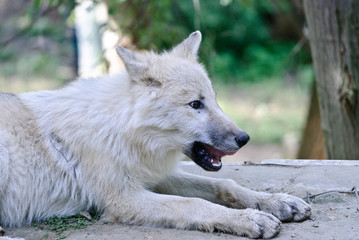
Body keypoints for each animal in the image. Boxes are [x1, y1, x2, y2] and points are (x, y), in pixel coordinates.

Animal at [0, 31, 310, 238]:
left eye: (214, 100)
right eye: (195, 104)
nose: (244, 139)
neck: (122, 131)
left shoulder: (155, 175)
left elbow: (225, 185)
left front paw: (277, 202)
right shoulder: (124, 198)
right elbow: (195, 204)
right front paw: (250, 220)